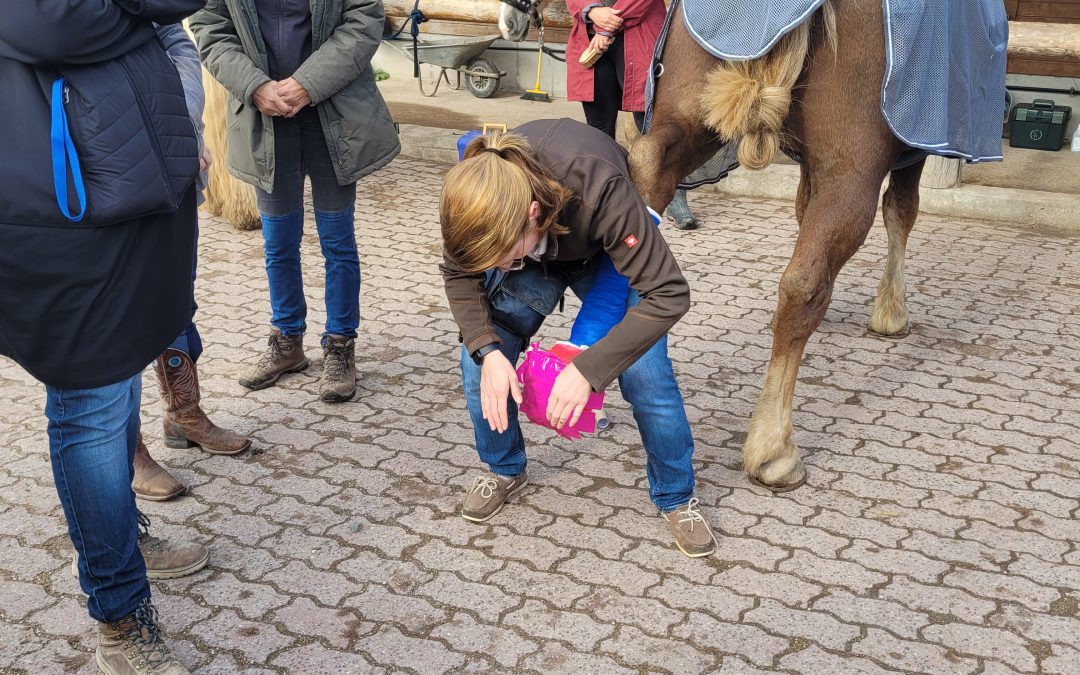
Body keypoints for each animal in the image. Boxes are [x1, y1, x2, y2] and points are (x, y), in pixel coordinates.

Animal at [501, 1, 924, 494]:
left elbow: (809, 210)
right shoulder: (906, 144)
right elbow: (901, 210)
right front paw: (892, 313)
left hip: (688, 111)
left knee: (647, 165)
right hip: (851, 165)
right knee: (804, 284)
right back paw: (774, 449)